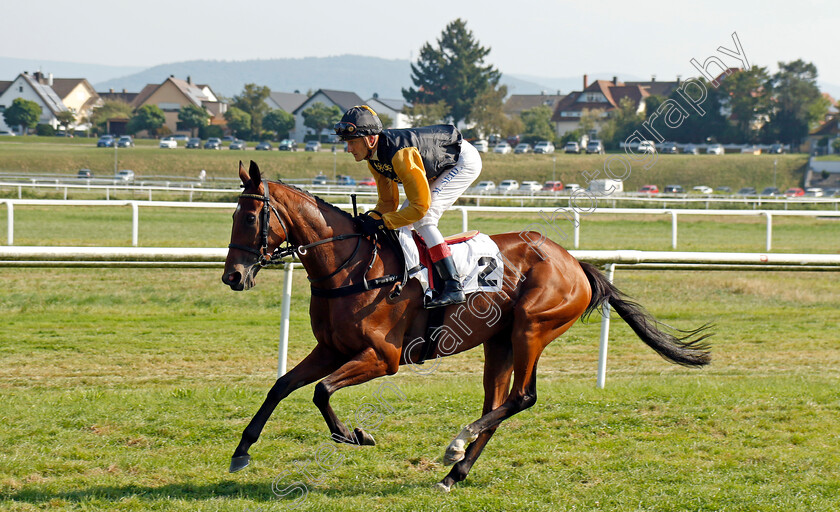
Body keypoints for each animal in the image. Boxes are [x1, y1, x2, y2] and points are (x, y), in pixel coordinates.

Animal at [221, 162, 708, 494]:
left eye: (250, 218)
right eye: (232, 216)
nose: (233, 277)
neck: (352, 267)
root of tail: (576, 263)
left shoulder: (383, 357)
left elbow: (322, 391)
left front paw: (353, 435)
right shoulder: (331, 349)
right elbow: (282, 386)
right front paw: (241, 451)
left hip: (531, 328)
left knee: (521, 398)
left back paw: (456, 447)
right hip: (500, 342)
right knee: (499, 403)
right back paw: (456, 472)